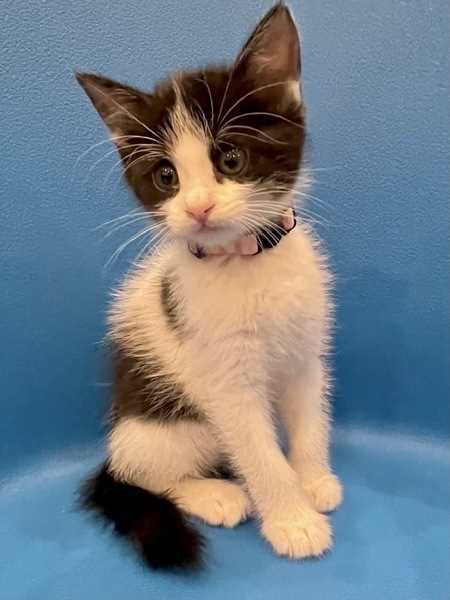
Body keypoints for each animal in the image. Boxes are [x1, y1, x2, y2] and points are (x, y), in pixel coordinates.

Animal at [77, 2, 343, 570]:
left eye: (231, 159)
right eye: (166, 177)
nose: (198, 207)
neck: (244, 262)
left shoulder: (305, 351)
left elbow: (310, 413)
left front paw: (312, 479)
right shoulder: (225, 380)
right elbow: (259, 452)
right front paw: (293, 520)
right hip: (168, 424)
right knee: (139, 471)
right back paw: (213, 494)